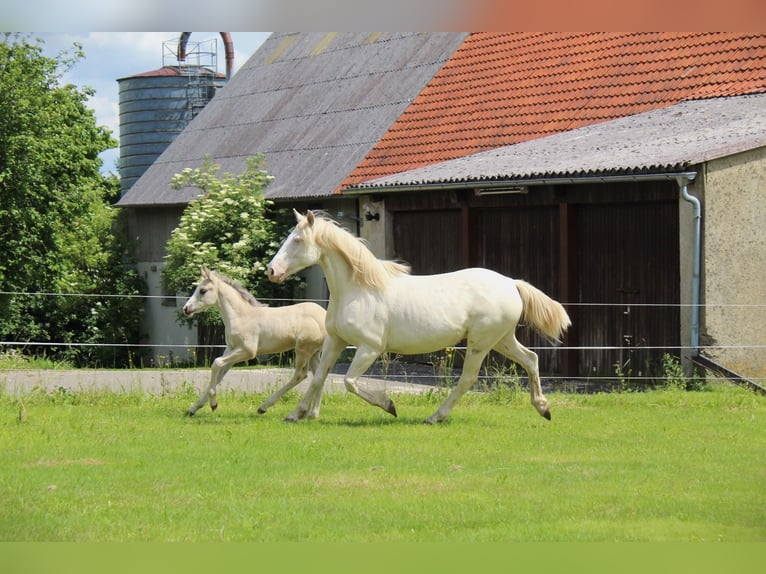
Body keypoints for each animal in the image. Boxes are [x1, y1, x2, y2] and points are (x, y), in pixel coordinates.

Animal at [268, 210, 572, 424]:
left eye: (297, 240)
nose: (271, 271)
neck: (358, 289)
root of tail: (510, 283)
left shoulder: (369, 348)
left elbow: (349, 382)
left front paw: (389, 406)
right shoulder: (336, 341)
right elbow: (319, 377)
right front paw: (295, 414)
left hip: (481, 343)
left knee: (468, 379)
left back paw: (435, 417)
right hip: (502, 340)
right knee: (531, 359)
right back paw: (543, 408)